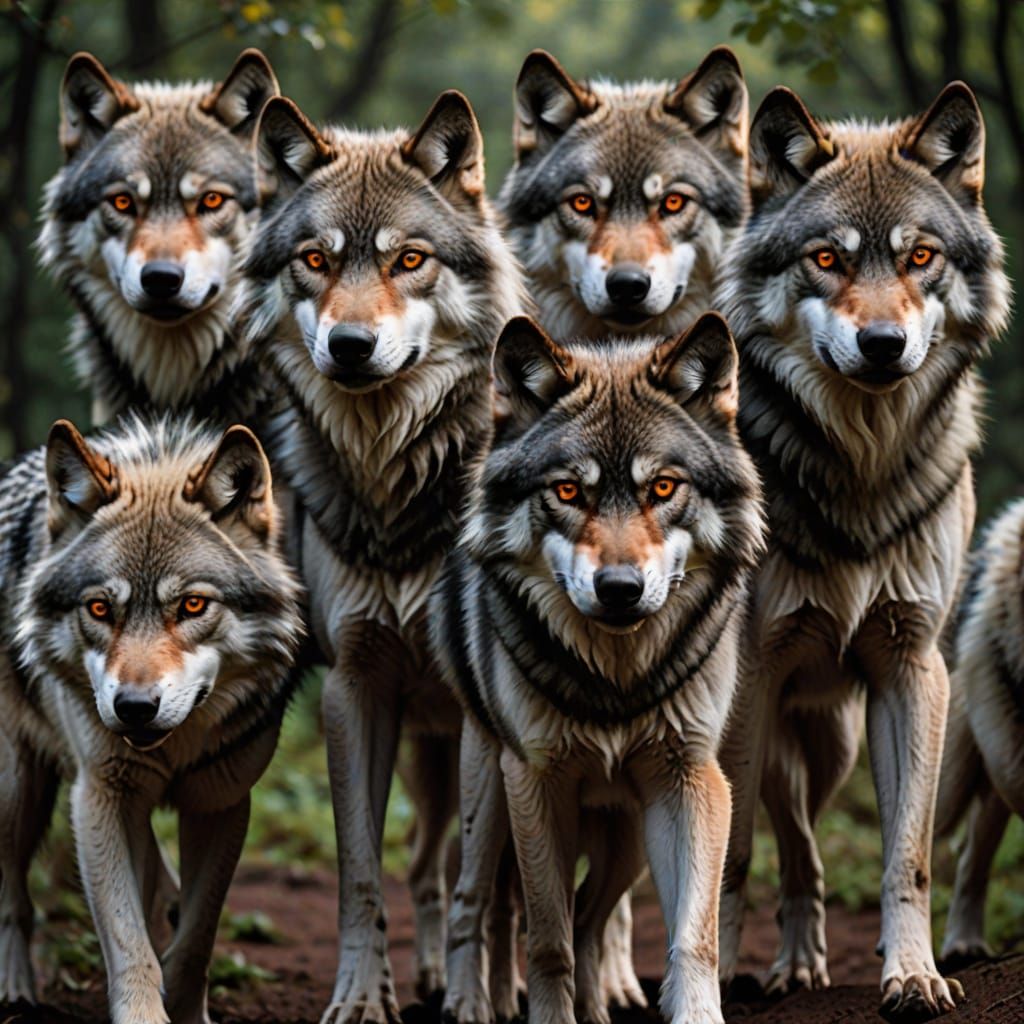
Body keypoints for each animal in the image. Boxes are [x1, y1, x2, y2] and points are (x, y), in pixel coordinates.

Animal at [0, 415, 302, 1023]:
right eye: (99, 608)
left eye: (192, 605)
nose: (134, 707)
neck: (173, 746)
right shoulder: (100, 796)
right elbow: (127, 939)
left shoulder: (220, 801)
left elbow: (197, 935)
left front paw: (185, 1008)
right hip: (16, 793)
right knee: (14, 901)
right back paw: (16, 990)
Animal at [237, 90, 522, 1023]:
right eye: (315, 260)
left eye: (409, 260)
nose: (351, 346)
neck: (395, 487)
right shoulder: (355, 688)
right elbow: (361, 871)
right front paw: (362, 996)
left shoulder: (481, 712)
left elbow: (481, 885)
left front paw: (476, 1004)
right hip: (420, 746)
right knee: (424, 865)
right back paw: (420, 978)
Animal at [431, 313, 764, 1024]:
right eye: (566, 491)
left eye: (662, 487)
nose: (619, 589)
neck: (616, 681)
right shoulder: (536, 783)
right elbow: (546, 939)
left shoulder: (691, 780)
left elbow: (693, 937)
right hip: (488, 797)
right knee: (475, 900)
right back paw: (469, 1002)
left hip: (627, 841)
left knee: (589, 916)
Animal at [715, 81, 1011, 1020]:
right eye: (826, 260)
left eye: (920, 257)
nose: (884, 346)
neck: (860, 469)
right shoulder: (748, 675)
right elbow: (729, 852)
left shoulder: (912, 667)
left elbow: (906, 855)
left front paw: (913, 974)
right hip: (777, 725)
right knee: (783, 839)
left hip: (832, 741)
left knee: (805, 844)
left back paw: (806, 963)